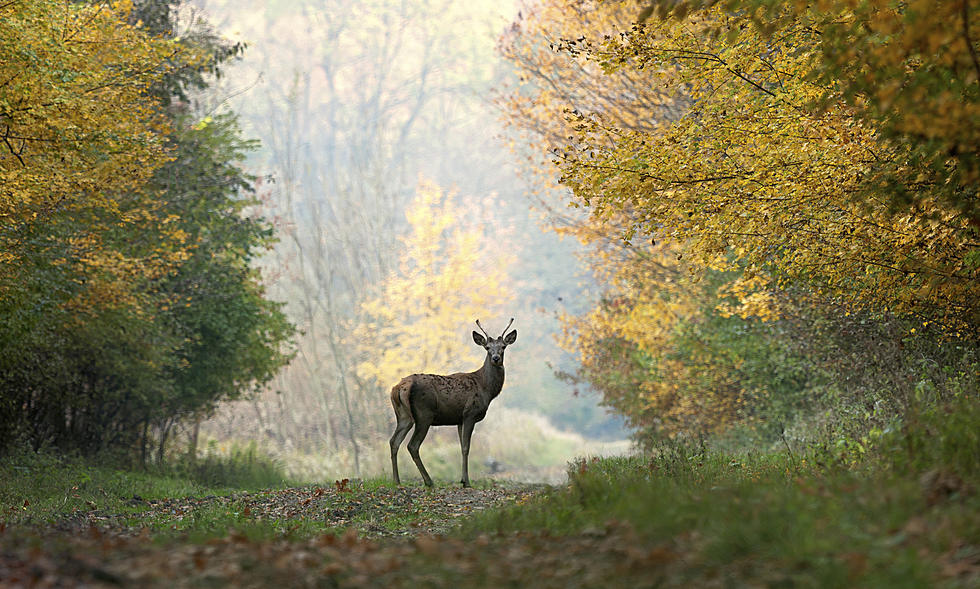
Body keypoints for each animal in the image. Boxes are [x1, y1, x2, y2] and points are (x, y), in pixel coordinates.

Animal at [388, 316, 516, 486]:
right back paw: (429, 481)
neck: (486, 389)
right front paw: (466, 482)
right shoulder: (470, 413)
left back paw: (397, 481)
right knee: (412, 445)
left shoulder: (459, 419)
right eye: (487, 347)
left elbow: (461, 447)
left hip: (403, 415)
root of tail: (401, 387)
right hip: (424, 414)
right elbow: (466, 447)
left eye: (503, 346)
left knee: (394, 441)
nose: (496, 358)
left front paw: (462, 479)